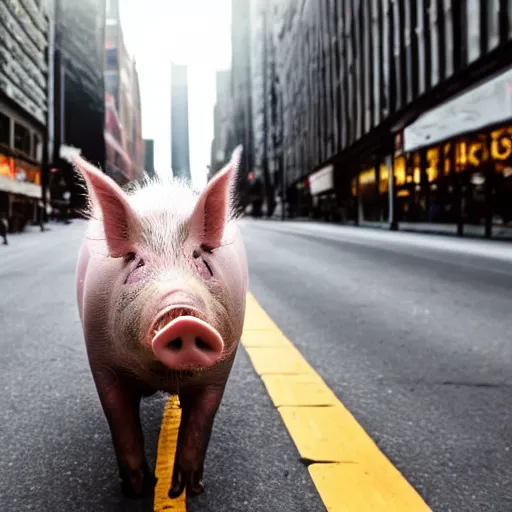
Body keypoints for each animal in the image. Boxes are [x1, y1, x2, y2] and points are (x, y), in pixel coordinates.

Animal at [72, 148, 248, 500]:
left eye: (202, 262)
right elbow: (121, 421)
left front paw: (187, 490)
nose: (183, 317)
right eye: (138, 265)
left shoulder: (221, 369)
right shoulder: (100, 360)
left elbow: (200, 423)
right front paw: (139, 489)